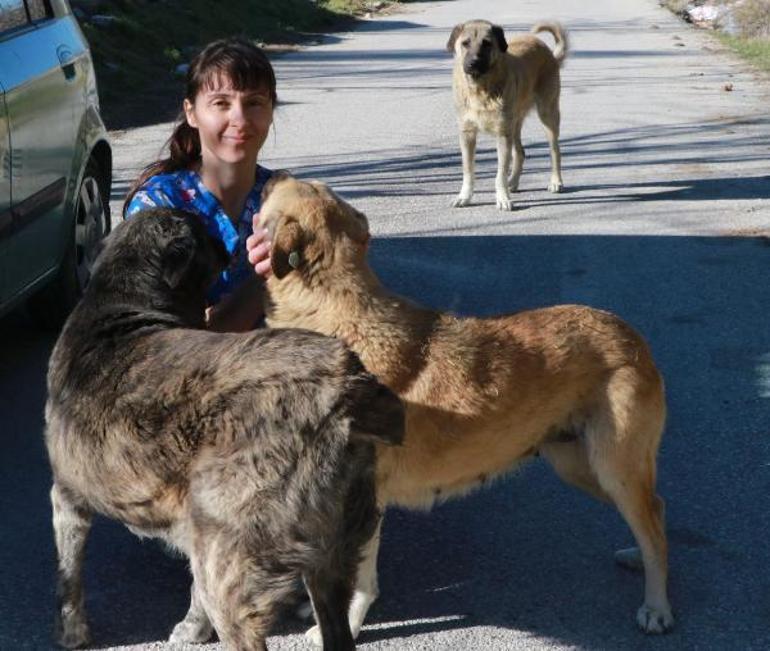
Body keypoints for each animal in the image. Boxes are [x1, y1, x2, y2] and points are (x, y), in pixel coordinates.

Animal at [43, 209, 402, 651]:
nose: (229, 243)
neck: (124, 303)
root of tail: (345, 387)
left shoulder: (67, 497)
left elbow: (69, 575)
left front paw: (72, 632)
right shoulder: (196, 529)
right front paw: (195, 627)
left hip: (232, 561)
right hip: (330, 558)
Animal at [258, 174, 672, 640]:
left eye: (292, 187)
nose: (269, 176)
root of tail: (631, 336)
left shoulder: (359, 507)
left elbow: (360, 582)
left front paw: (344, 624)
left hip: (613, 469)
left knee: (653, 529)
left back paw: (658, 605)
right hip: (578, 465)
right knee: (656, 512)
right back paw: (639, 555)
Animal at [448, 20, 568, 210]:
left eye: (487, 43)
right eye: (465, 43)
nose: (473, 63)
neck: (480, 90)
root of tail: (549, 52)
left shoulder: (502, 135)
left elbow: (500, 173)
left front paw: (502, 198)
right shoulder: (467, 134)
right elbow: (468, 170)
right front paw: (464, 196)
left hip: (547, 114)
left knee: (555, 151)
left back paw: (556, 181)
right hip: (515, 125)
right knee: (521, 152)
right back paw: (514, 182)